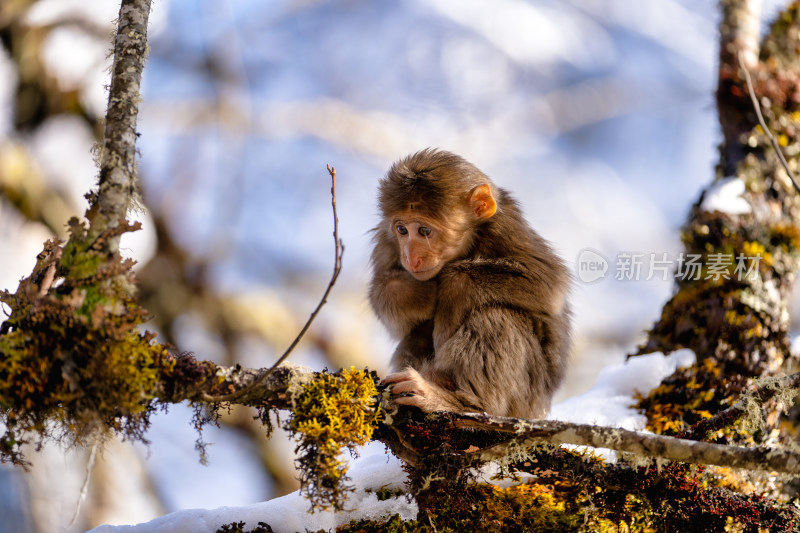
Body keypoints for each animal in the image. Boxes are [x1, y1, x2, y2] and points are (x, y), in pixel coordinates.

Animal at [368, 148, 568, 418]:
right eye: (401, 229)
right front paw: (423, 294)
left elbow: (549, 284)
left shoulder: (506, 227)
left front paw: (451, 290)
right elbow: (387, 304)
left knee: (496, 316)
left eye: (424, 231)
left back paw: (464, 402)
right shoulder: (386, 241)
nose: (410, 258)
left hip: (527, 399)